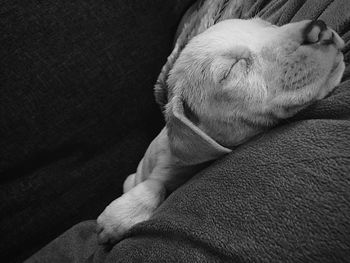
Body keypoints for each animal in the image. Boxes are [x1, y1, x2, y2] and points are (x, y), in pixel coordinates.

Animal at [95, 18, 344, 245]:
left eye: (267, 25)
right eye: (231, 70)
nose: (318, 29)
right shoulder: (161, 166)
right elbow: (155, 184)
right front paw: (116, 220)